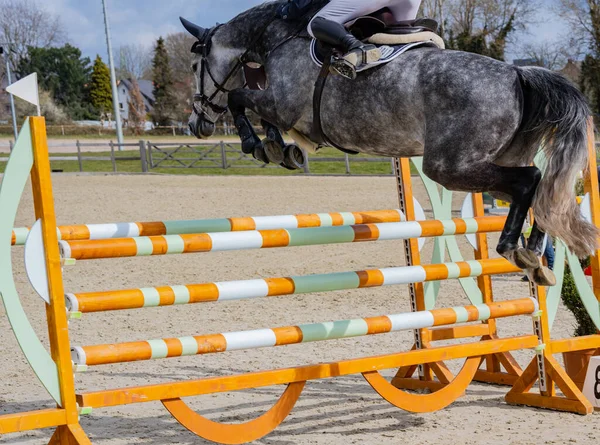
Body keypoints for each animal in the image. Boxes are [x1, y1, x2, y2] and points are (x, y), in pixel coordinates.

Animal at [180, 0, 596, 284]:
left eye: (196, 66)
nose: (195, 124)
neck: (277, 37)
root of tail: (517, 73)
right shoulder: (283, 111)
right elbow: (260, 115)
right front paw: (279, 149)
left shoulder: (282, 104)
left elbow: (240, 99)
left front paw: (256, 144)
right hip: (490, 163)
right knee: (541, 190)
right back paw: (535, 258)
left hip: (450, 166)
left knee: (531, 180)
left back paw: (514, 248)